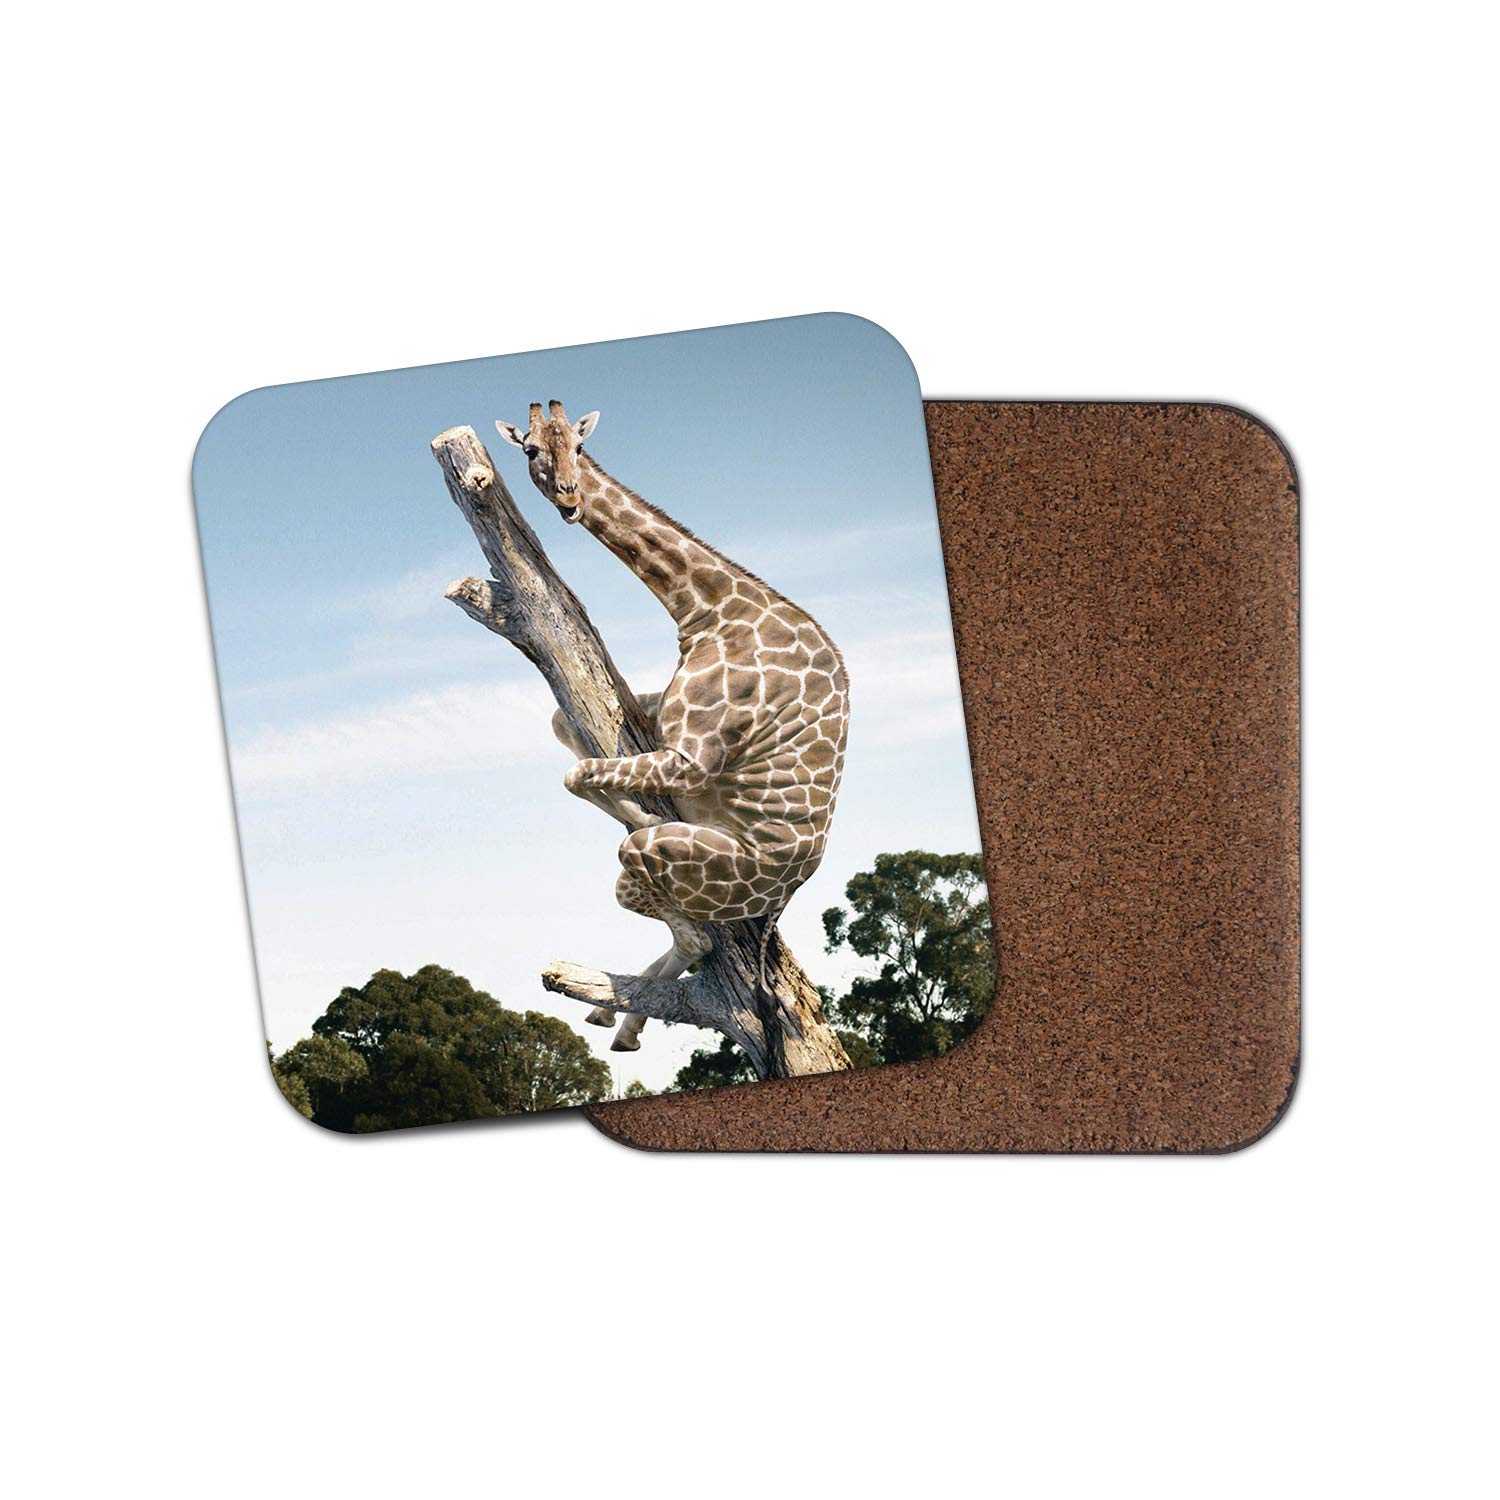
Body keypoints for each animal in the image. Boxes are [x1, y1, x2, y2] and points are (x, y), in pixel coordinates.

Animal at [496, 400, 850, 1053]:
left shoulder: (692, 757)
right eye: (530, 449)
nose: (569, 500)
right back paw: (614, 1020)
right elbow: (562, 729)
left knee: (692, 929)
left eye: (578, 447)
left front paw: (640, 811)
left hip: (680, 867)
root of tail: (787, 892)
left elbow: (578, 776)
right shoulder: (656, 717)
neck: (709, 609)